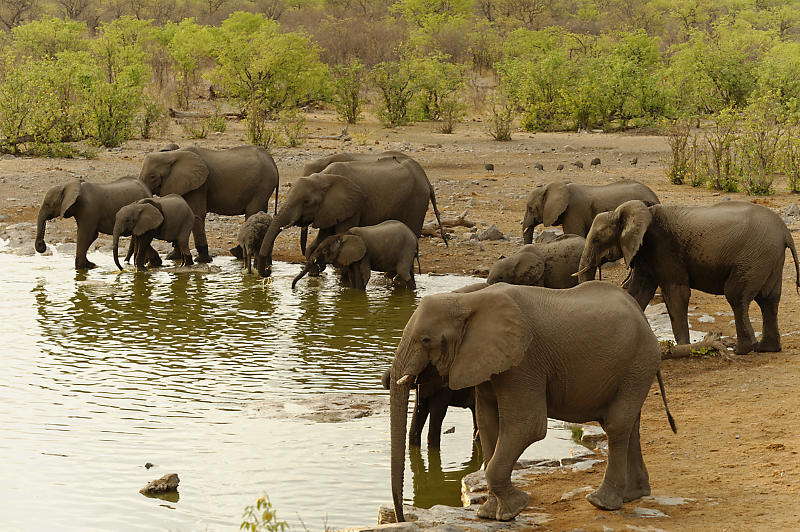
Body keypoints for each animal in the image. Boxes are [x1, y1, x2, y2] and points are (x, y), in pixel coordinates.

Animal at [140, 144, 282, 262]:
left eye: (152, 177)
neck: (171, 155)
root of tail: (272, 161)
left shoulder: (199, 185)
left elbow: (196, 215)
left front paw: (201, 260)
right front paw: (172, 258)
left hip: (263, 184)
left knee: (252, 213)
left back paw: (238, 253)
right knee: (260, 214)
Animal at [258, 156, 446, 276]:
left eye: (306, 202)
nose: (267, 272)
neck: (324, 177)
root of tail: (426, 179)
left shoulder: (352, 206)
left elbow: (341, 234)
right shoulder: (330, 209)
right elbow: (321, 239)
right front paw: (314, 274)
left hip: (417, 200)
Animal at [390, 280, 676, 520]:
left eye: (426, 339)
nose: (402, 516)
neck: (468, 300)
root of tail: (642, 316)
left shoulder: (523, 362)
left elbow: (527, 426)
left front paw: (512, 510)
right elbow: (488, 424)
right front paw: (488, 513)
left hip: (637, 362)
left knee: (617, 425)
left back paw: (601, 503)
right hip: (635, 368)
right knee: (630, 425)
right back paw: (633, 496)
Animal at [576, 198, 800, 354]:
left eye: (595, 239)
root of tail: (785, 233)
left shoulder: (664, 248)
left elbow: (676, 293)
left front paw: (682, 348)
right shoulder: (645, 253)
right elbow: (639, 291)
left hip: (754, 256)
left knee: (737, 296)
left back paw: (742, 350)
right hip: (769, 258)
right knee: (769, 300)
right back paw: (766, 349)